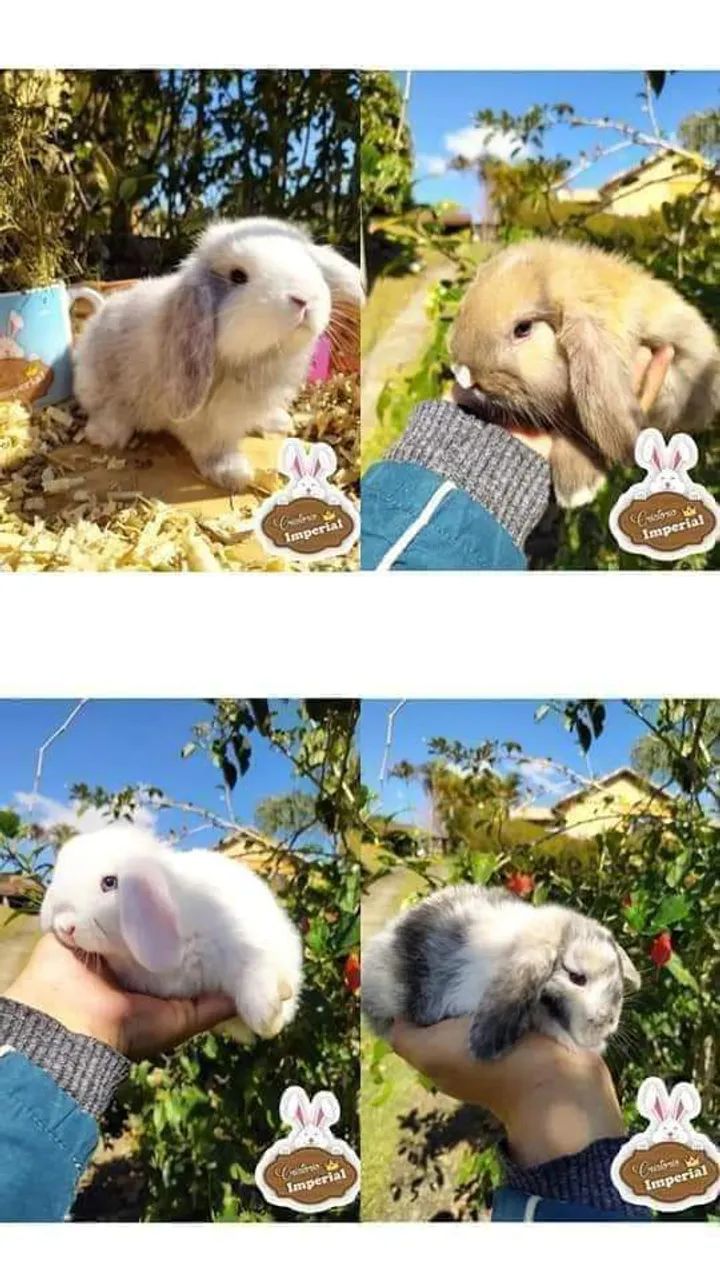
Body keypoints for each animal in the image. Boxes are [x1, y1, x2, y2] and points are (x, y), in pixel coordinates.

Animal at [73, 218, 363, 492]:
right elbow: (213, 447)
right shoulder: (205, 421)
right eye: (237, 276)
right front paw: (233, 474)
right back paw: (105, 433)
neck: (262, 357)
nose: (303, 299)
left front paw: (276, 422)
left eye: (308, 260)